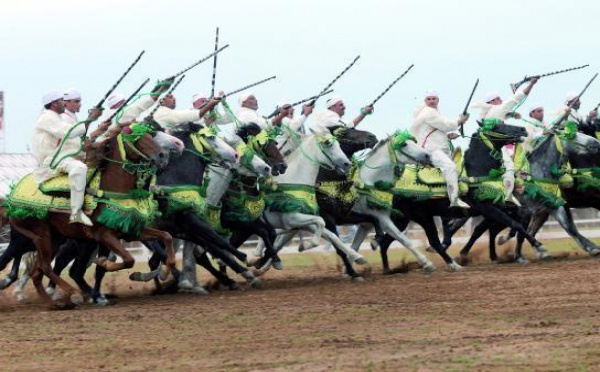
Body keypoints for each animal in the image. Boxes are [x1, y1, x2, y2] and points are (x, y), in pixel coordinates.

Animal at [3, 122, 184, 308]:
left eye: (150, 134)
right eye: (136, 137)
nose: (163, 155)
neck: (112, 189)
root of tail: (11, 198)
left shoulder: (131, 230)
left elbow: (167, 237)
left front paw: (161, 272)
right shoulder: (105, 235)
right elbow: (128, 260)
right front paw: (105, 263)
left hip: (54, 238)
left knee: (37, 272)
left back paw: (54, 302)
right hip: (41, 235)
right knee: (45, 267)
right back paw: (73, 294)